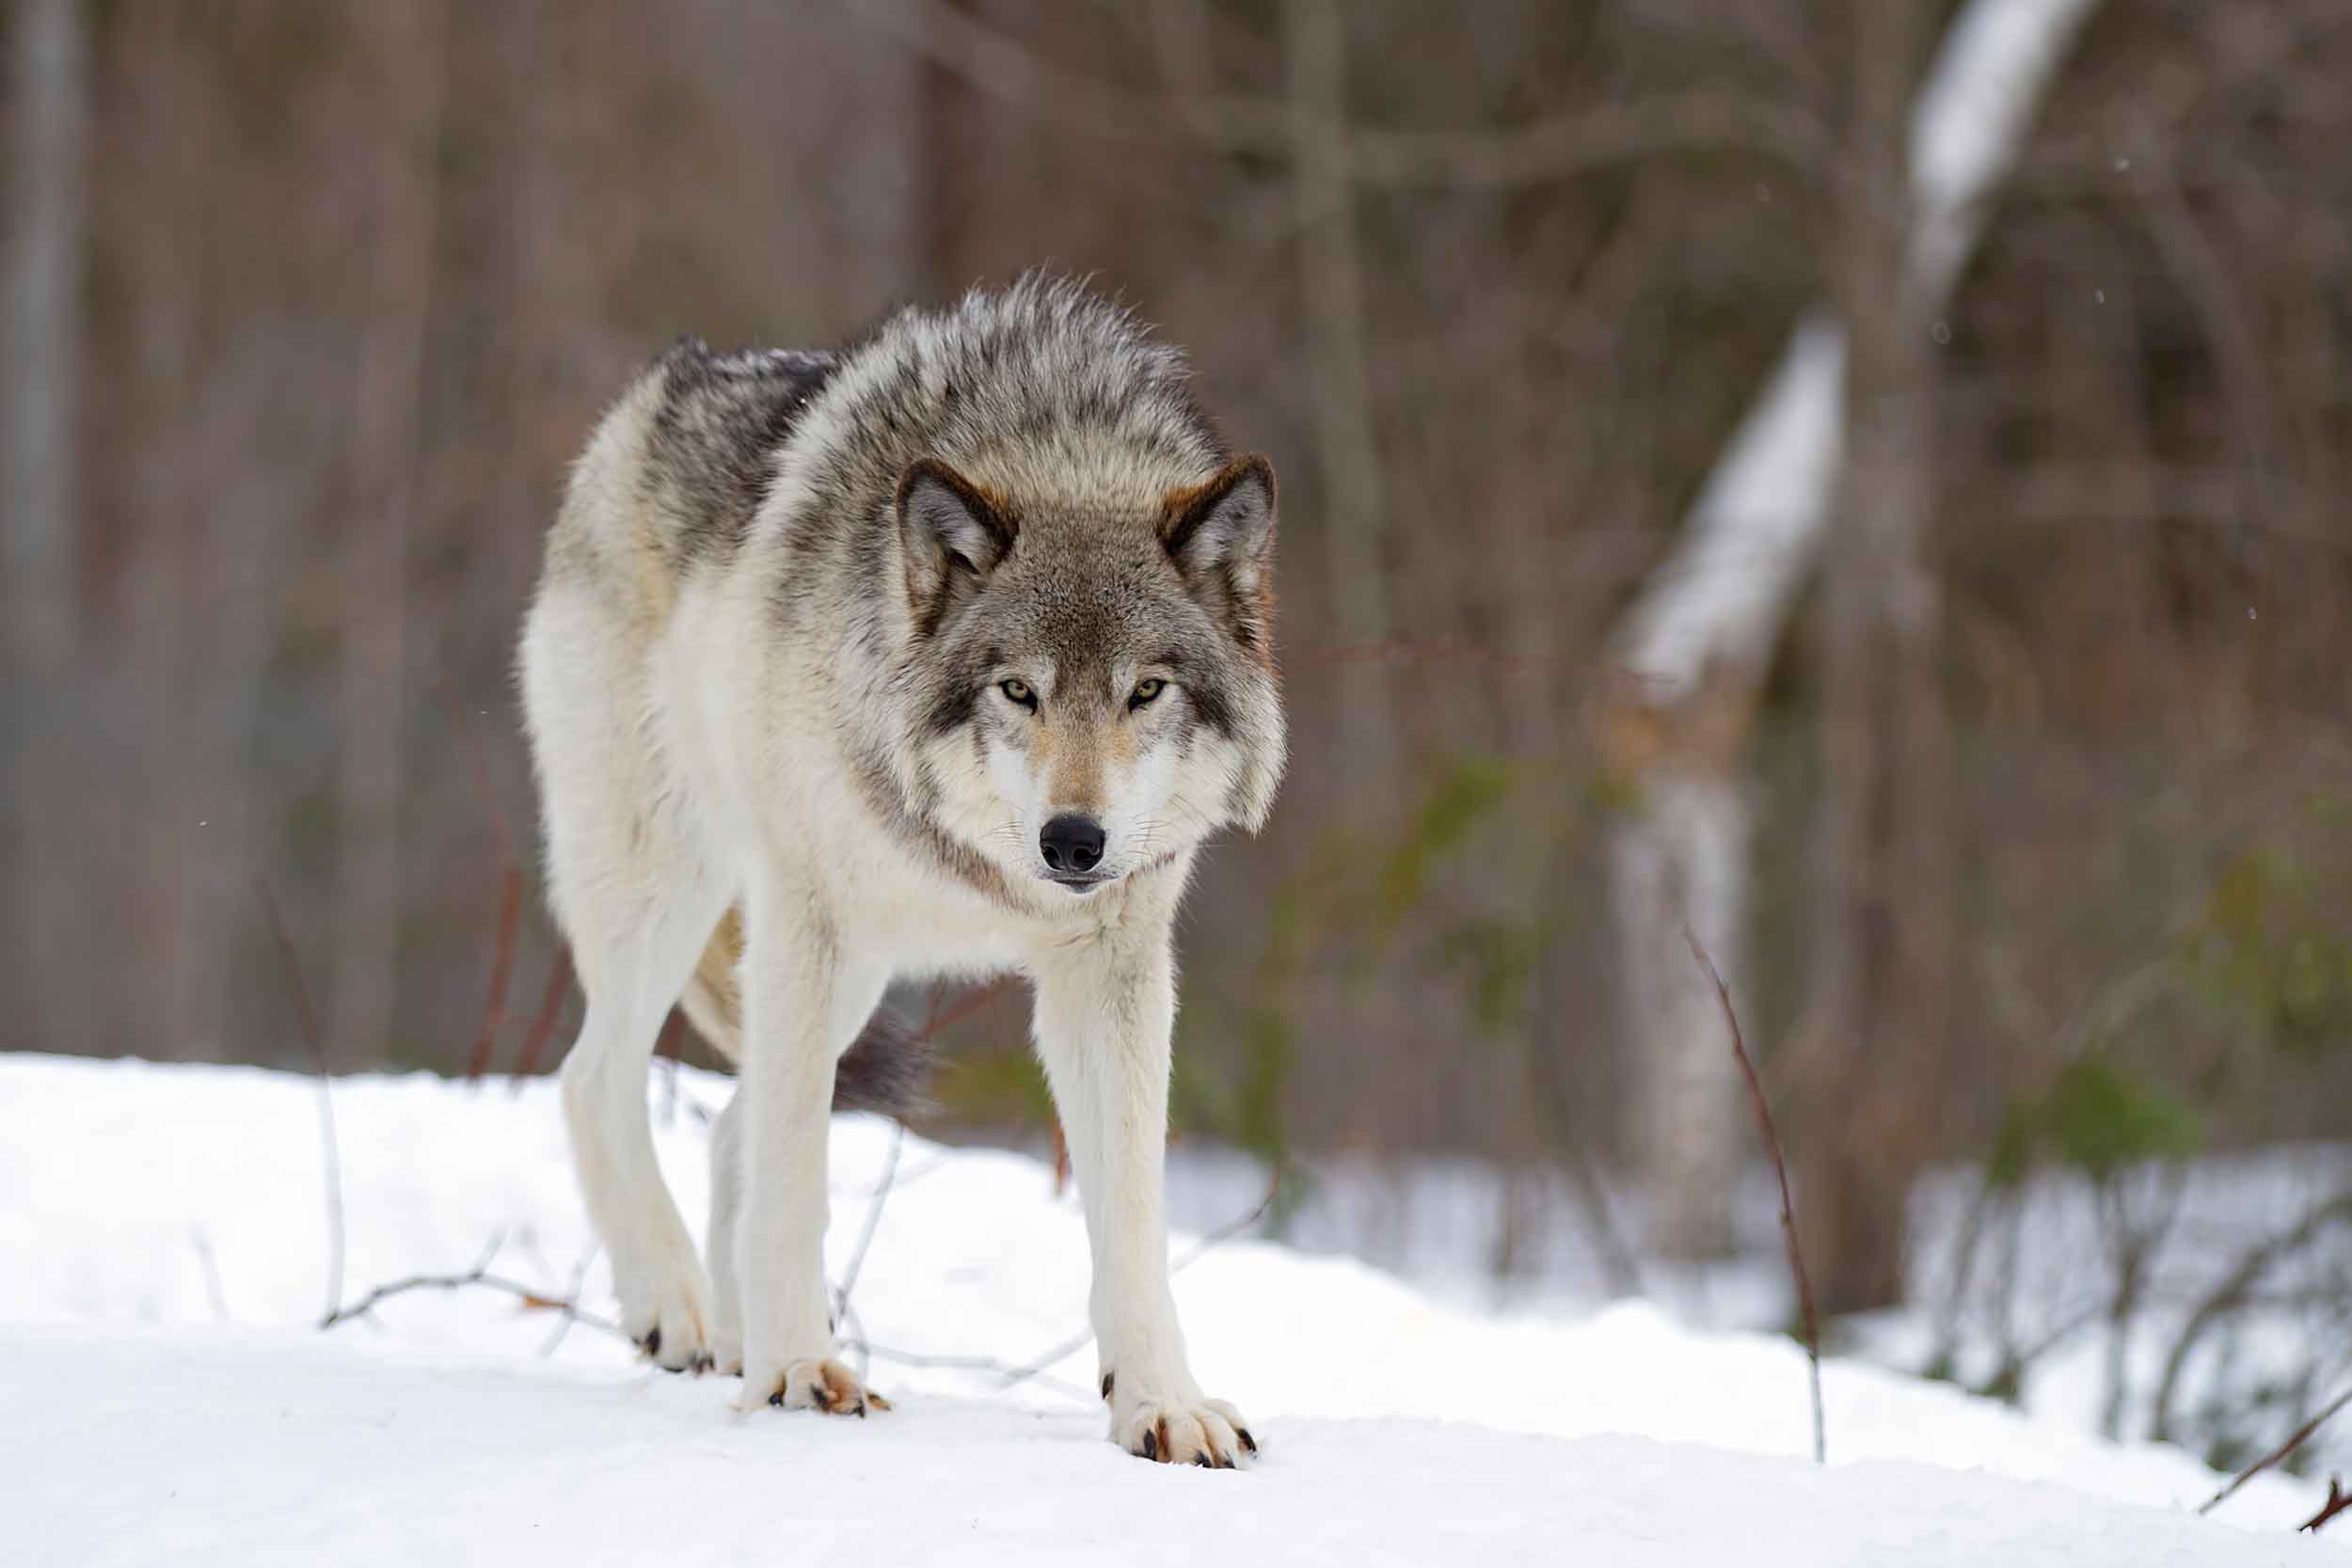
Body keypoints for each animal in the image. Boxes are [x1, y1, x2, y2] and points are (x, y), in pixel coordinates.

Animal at [518, 276, 1284, 1466]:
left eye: (1145, 691)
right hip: (678, 898)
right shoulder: (807, 920)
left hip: (835, 976)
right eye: (1016, 689)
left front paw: (1162, 1402)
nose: (1074, 841)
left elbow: (1131, 1214)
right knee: (595, 1077)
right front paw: (799, 1371)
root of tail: (661, 383)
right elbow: (795, 1176)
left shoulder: (1109, 971)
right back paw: (679, 1309)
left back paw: (730, 1333)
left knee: (730, 1124)